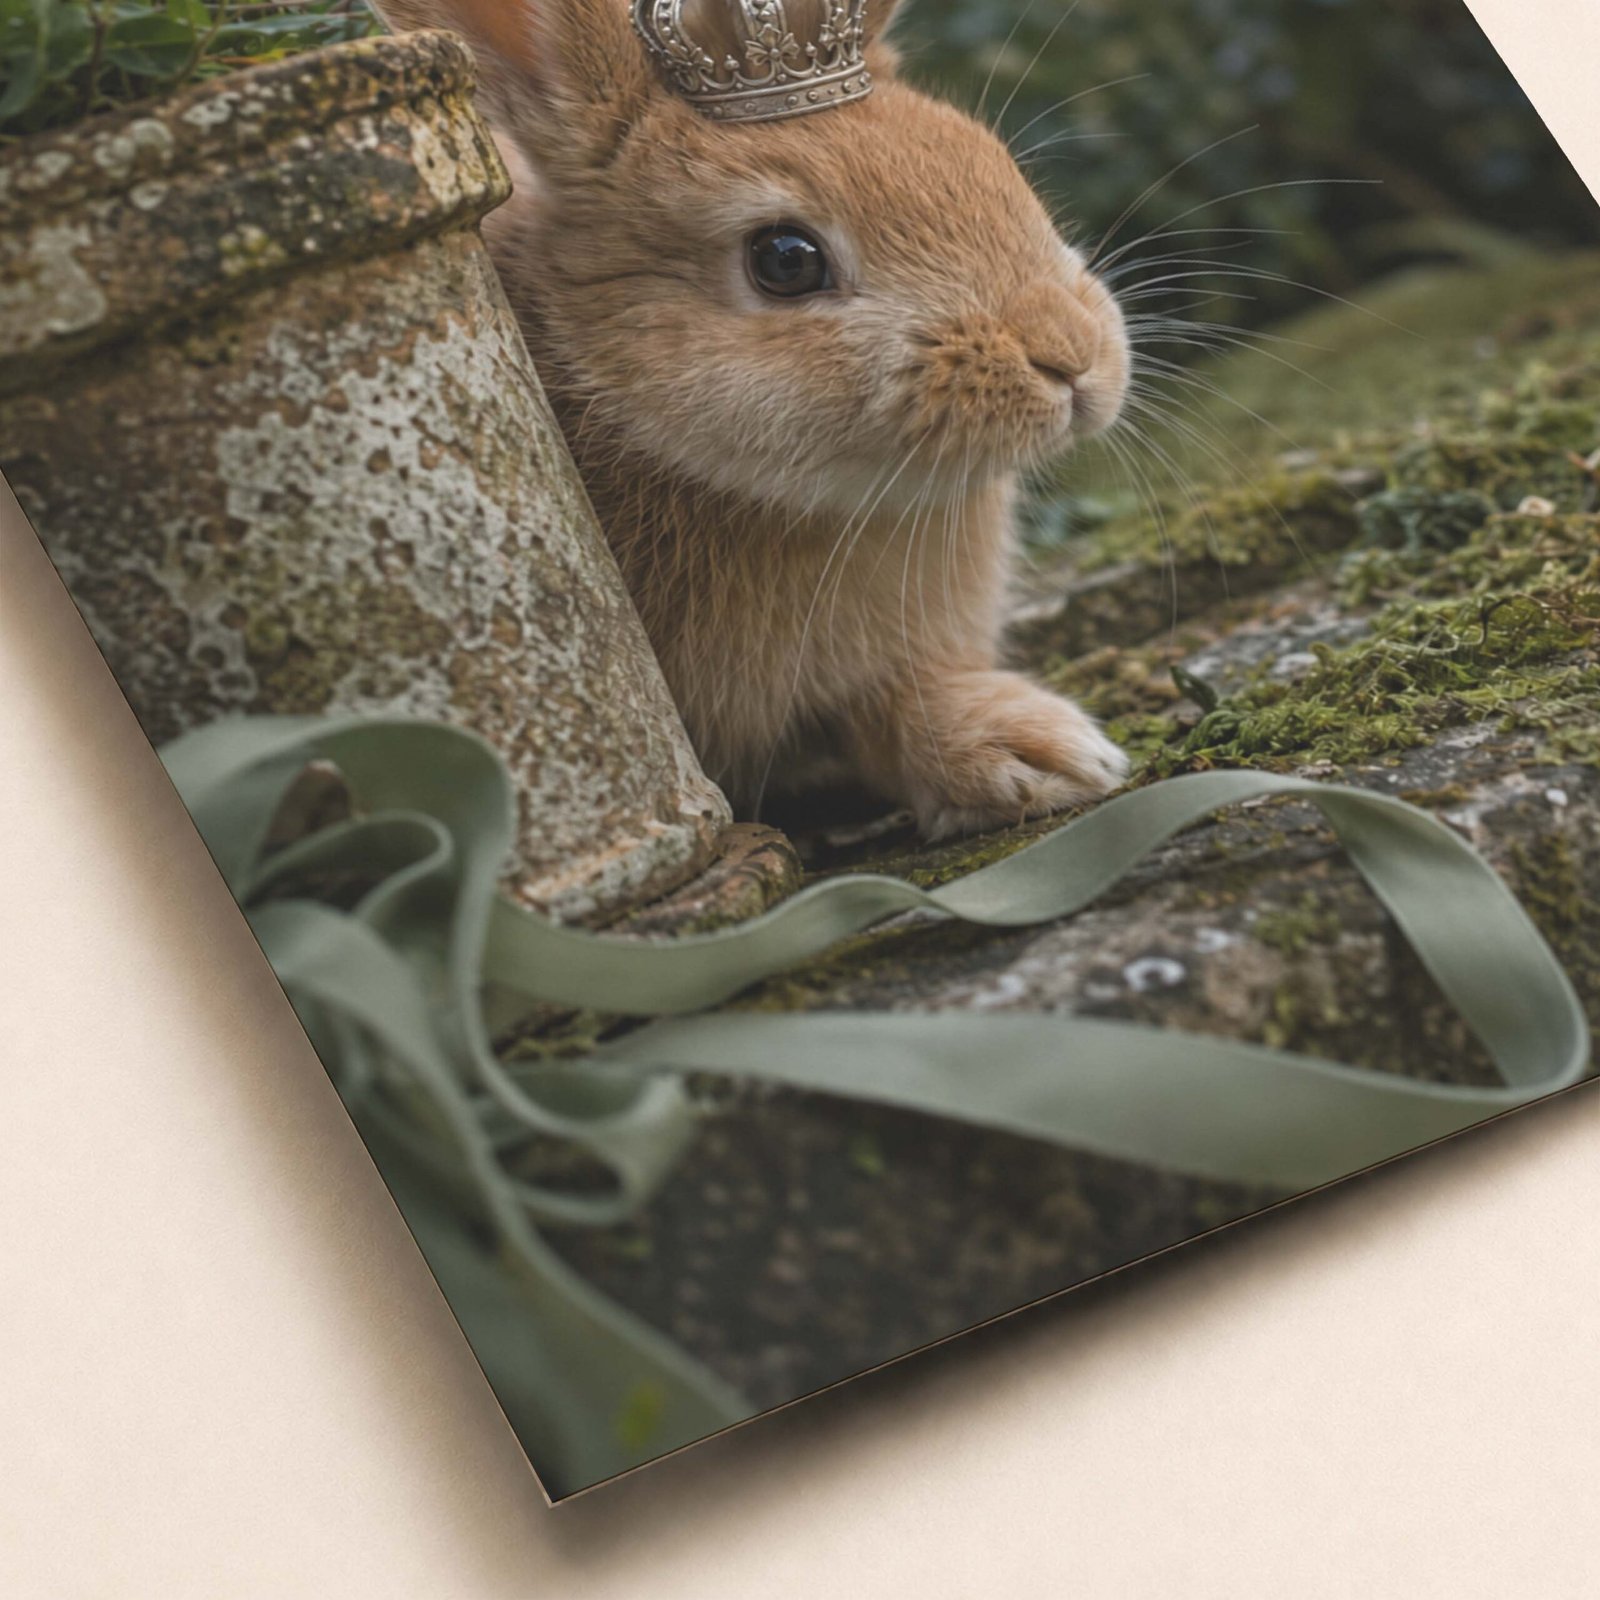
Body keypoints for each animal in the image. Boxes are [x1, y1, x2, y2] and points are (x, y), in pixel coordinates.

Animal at [374, 0, 1131, 838]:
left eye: (990, 158)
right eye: (785, 261)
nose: (1071, 355)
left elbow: (891, 714)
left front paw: (1042, 754)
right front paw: (1050, 753)